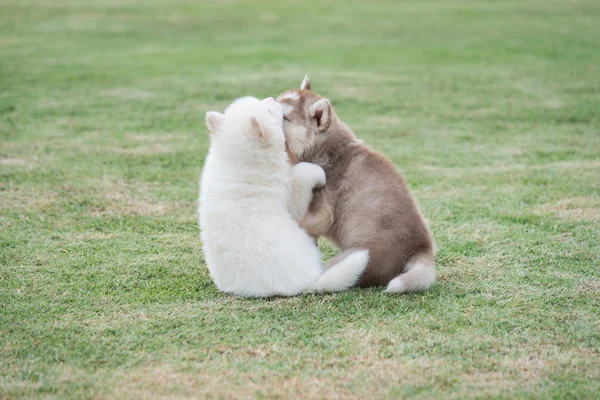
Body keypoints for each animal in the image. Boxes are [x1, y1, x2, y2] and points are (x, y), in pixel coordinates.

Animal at [199, 97, 368, 296]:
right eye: (269, 111)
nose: (272, 98)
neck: (237, 160)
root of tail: (306, 285)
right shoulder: (290, 198)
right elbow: (303, 172)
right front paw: (319, 174)